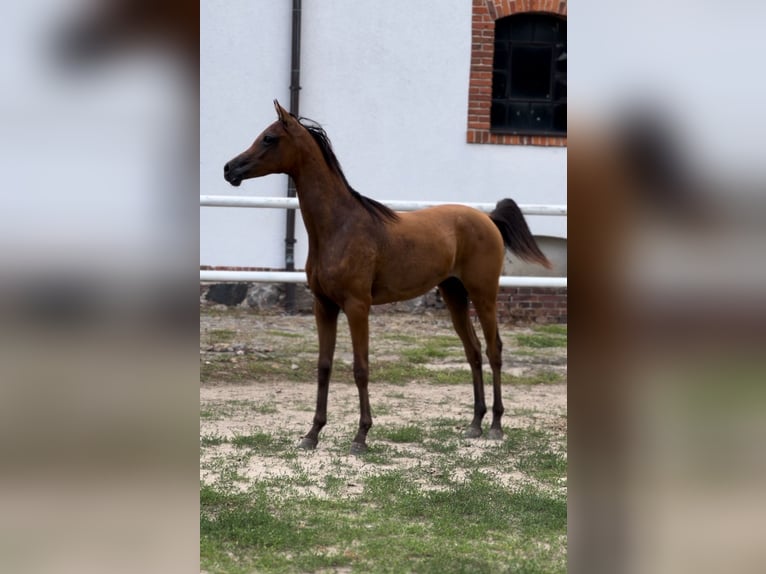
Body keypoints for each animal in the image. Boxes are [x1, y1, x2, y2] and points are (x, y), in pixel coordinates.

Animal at [225, 101, 556, 456]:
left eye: (269, 138)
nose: (230, 169)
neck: (339, 227)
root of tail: (488, 218)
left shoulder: (357, 307)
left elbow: (360, 368)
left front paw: (360, 436)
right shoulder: (323, 306)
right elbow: (324, 366)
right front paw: (312, 434)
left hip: (484, 295)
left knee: (494, 350)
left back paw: (495, 426)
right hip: (454, 295)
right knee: (474, 351)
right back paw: (475, 424)